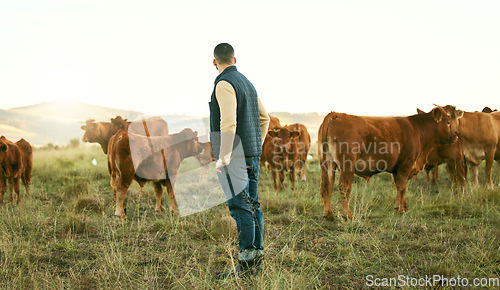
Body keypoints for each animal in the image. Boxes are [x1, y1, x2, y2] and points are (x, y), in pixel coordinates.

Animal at [318, 107, 456, 219]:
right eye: (448, 122)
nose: (456, 136)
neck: (416, 130)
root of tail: (336, 114)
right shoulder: (406, 164)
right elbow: (402, 187)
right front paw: (399, 209)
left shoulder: (397, 169)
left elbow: (401, 188)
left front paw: (404, 208)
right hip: (347, 165)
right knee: (343, 186)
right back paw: (347, 215)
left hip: (327, 164)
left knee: (327, 185)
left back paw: (328, 214)